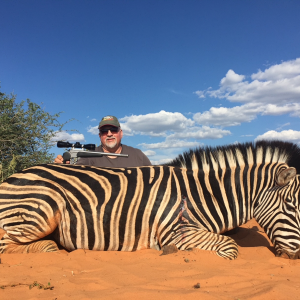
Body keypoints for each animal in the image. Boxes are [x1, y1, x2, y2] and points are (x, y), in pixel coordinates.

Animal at [0, 141, 298, 260]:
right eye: (291, 207)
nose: (296, 256)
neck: (200, 196)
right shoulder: (176, 231)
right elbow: (230, 247)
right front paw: (173, 253)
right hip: (40, 211)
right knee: (10, 245)